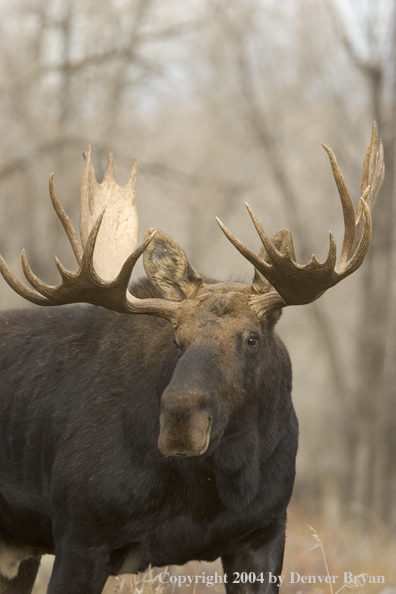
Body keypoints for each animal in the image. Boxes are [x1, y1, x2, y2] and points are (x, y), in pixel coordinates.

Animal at [0, 122, 384, 588]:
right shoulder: (80, 536)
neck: (213, 487)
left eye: (252, 338)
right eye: (177, 340)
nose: (181, 422)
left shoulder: (264, 532)